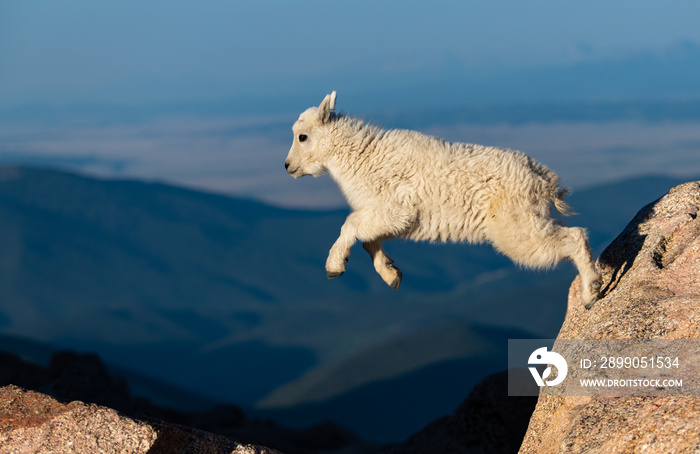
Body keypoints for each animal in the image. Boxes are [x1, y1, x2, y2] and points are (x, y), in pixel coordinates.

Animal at [284, 92, 600, 306]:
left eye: (302, 136)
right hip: (529, 217)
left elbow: (350, 224)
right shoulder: (389, 217)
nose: (288, 166)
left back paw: (590, 292)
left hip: (514, 226)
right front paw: (392, 275)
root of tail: (542, 180)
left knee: (572, 236)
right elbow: (368, 239)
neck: (360, 158)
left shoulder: (397, 208)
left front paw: (334, 266)